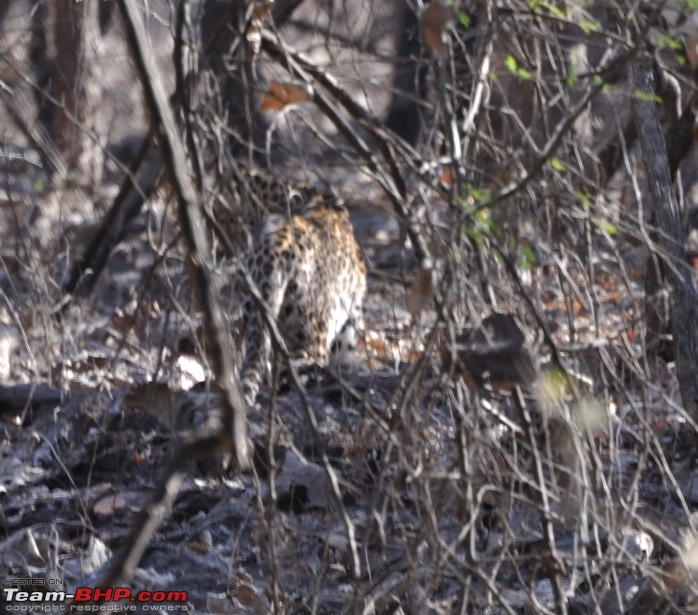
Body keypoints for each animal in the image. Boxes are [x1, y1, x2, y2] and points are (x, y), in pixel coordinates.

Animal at [238, 190, 368, 406]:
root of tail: (275, 247)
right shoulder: (351, 310)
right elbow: (346, 348)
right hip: (311, 328)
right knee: (302, 365)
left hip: (254, 311)